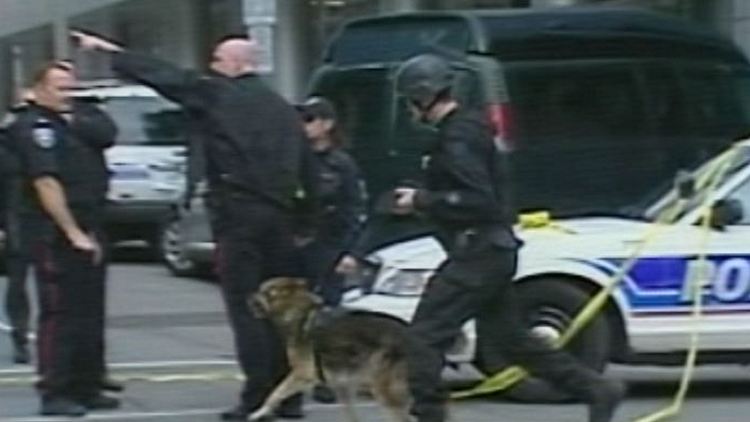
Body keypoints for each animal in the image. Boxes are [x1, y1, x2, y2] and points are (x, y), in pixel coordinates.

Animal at [251, 276, 418, 422]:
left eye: (263, 292)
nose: (247, 297)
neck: (300, 314)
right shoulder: (343, 386)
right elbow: (351, 416)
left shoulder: (302, 375)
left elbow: (275, 393)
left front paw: (259, 412)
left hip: (384, 391)